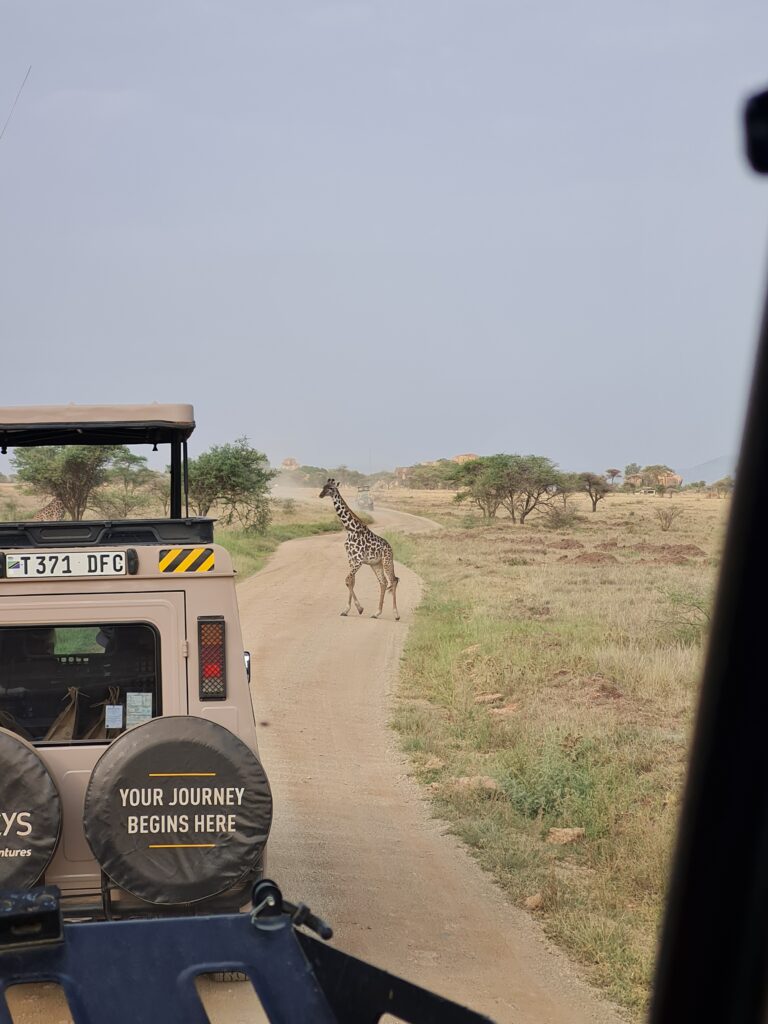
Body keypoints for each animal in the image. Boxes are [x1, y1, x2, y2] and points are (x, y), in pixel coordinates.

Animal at [319, 475, 403, 618]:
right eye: (323, 487)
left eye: (330, 488)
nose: (320, 495)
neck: (350, 529)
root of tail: (390, 547)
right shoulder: (351, 559)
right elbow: (351, 581)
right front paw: (347, 610)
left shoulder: (358, 560)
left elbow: (347, 580)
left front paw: (359, 608)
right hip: (376, 564)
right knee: (383, 582)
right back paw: (376, 613)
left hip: (387, 561)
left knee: (393, 580)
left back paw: (396, 614)